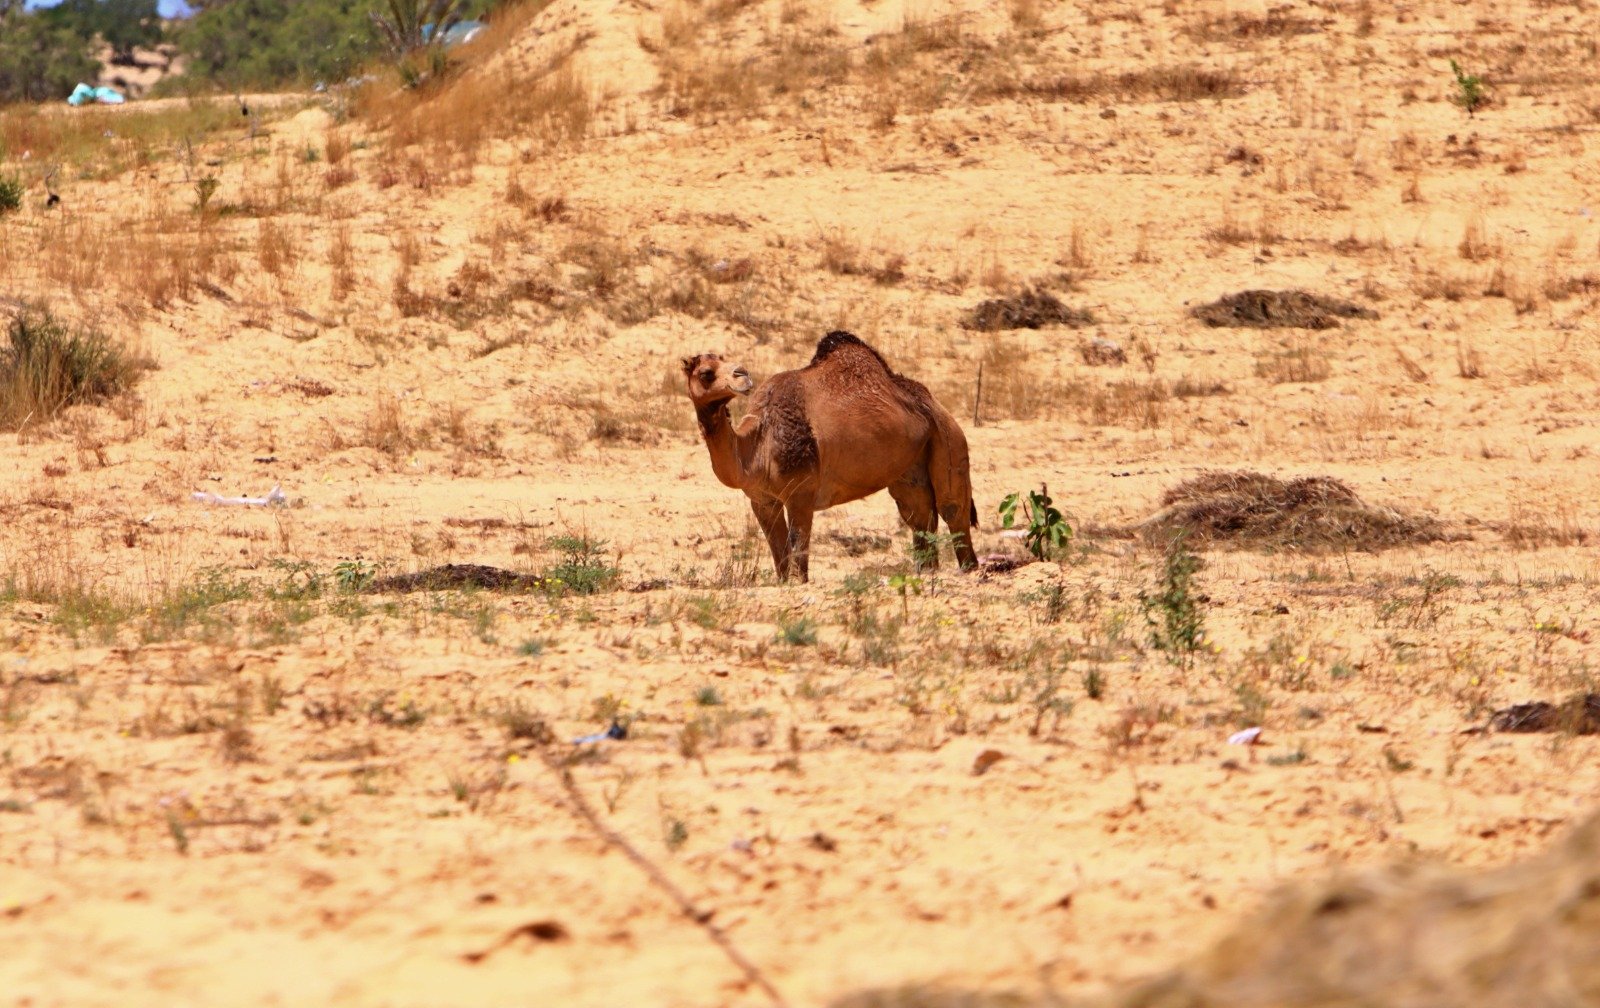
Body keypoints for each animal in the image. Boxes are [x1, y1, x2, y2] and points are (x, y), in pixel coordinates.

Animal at [678, 331, 972, 585]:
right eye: (705, 373)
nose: (742, 375)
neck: (758, 444)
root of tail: (931, 402)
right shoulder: (761, 501)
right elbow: (778, 552)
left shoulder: (800, 493)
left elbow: (798, 549)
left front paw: (799, 582)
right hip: (909, 466)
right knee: (919, 514)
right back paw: (926, 571)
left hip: (949, 436)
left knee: (952, 509)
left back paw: (967, 570)